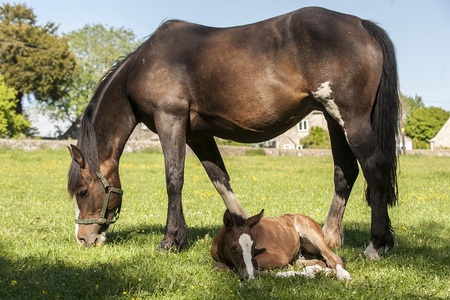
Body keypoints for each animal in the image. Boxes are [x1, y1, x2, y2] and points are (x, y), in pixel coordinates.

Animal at [211, 210, 352, 280]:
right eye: (232, 247)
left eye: (254, 245)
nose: (248, 276)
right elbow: (218, 267)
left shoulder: (278, 256)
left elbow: (255, 265)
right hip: (302, 255)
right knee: (318, 261)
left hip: (312, 234)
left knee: (334, 259)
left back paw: (341, 275)